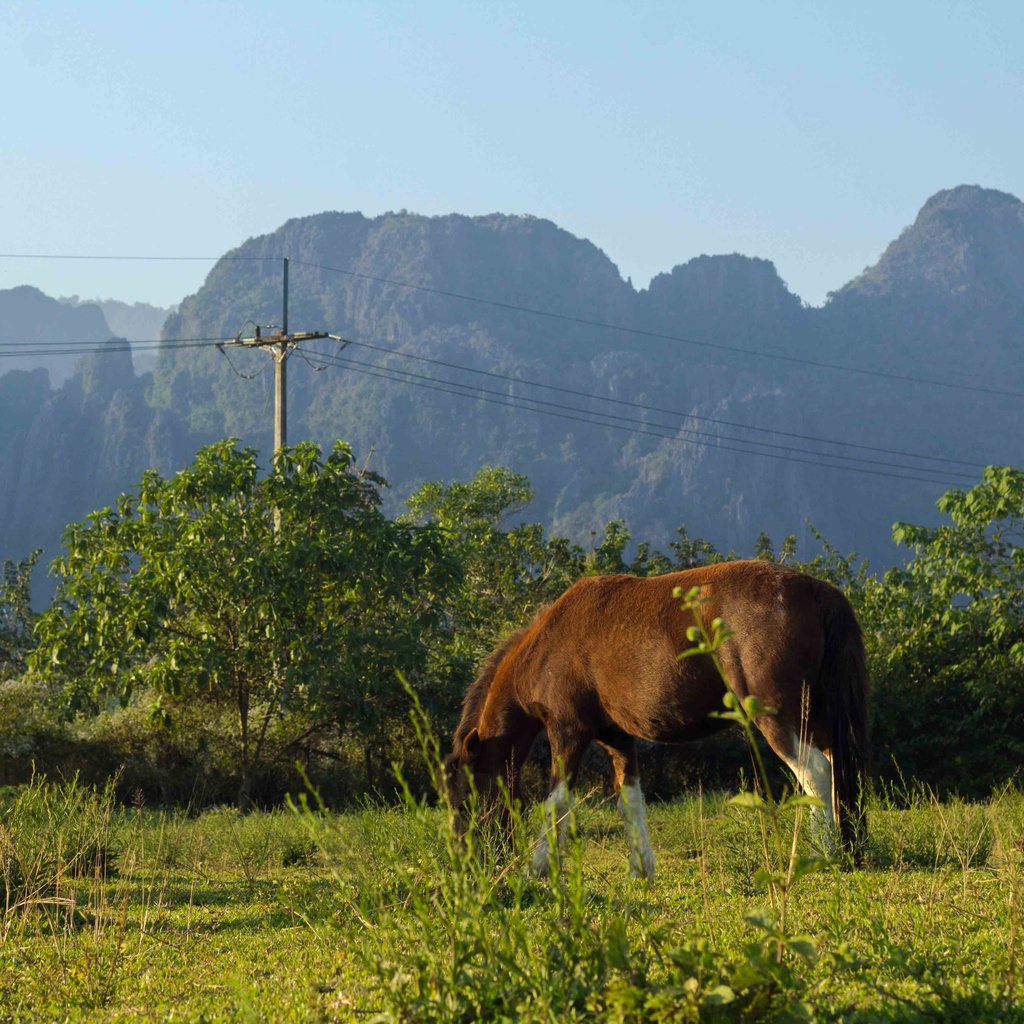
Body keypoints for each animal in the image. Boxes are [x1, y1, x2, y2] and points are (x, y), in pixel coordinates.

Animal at [444, 559, 869, 878]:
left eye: (465, 798)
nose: (467, 863)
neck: (550, 643)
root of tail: (815, 590)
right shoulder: (616, 738)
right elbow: (629, 802)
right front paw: (640, 870)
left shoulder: (567, 731)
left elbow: (557, 800)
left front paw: (538, 869)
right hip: (816, 719)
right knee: (832, 766)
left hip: (777, 716)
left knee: (814, 773)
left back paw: (818, 856)